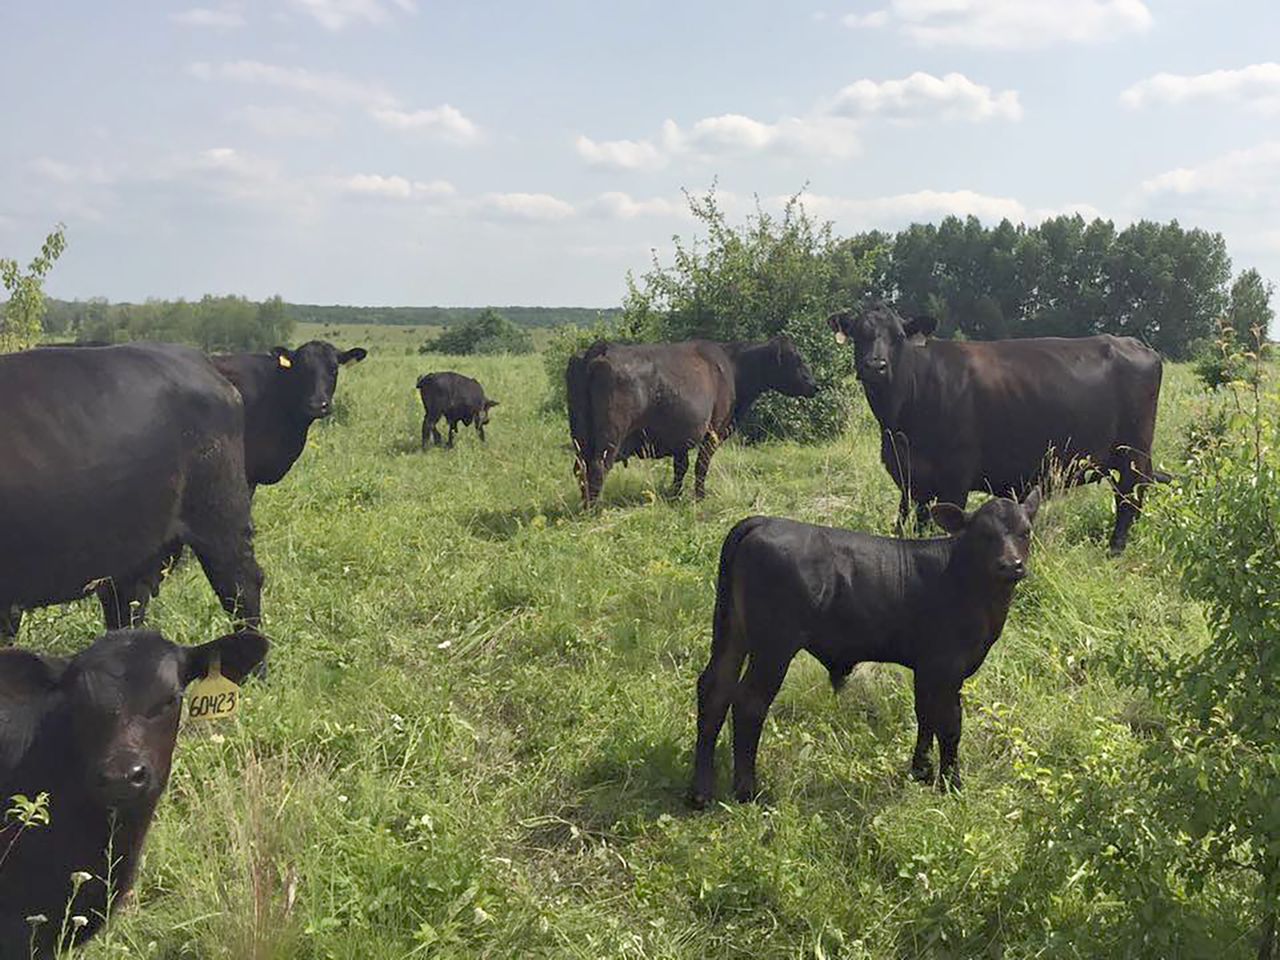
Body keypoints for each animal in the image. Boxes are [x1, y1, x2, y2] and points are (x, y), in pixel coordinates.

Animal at [566, 336, 818, 507]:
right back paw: (594, 510)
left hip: (581, 436)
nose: (815, 385)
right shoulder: (713, 431)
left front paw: (674, 495)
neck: (732, 366)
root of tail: (602, 348)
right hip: (610, 436)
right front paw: (699, 497)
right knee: (598, 467)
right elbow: (701, 466)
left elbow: (681, 467)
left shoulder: (680, 435)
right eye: (796, 360)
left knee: (580, 468)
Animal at [690, 490, 1040, 808]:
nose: (1011, 565)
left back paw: (700, 793)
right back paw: (748, 791)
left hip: (731, 632)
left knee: (714, 688)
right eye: (983, 534)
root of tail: (762, 521)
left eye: (1025, 531)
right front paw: (951, 784)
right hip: (773, 646)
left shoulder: (927, 667)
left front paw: (921, 772)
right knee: (748, 702)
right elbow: (950, 723)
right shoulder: (947, 666)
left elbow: (926, 714)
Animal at [828, 302, 1164, 554]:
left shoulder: (955, 477)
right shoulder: (910, 478)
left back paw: (1115, 551)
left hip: (1133, 453)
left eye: (898, 336)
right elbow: (912, 523)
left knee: (1128, 500)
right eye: (858, 334)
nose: (875, 366)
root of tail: (1135, 344)